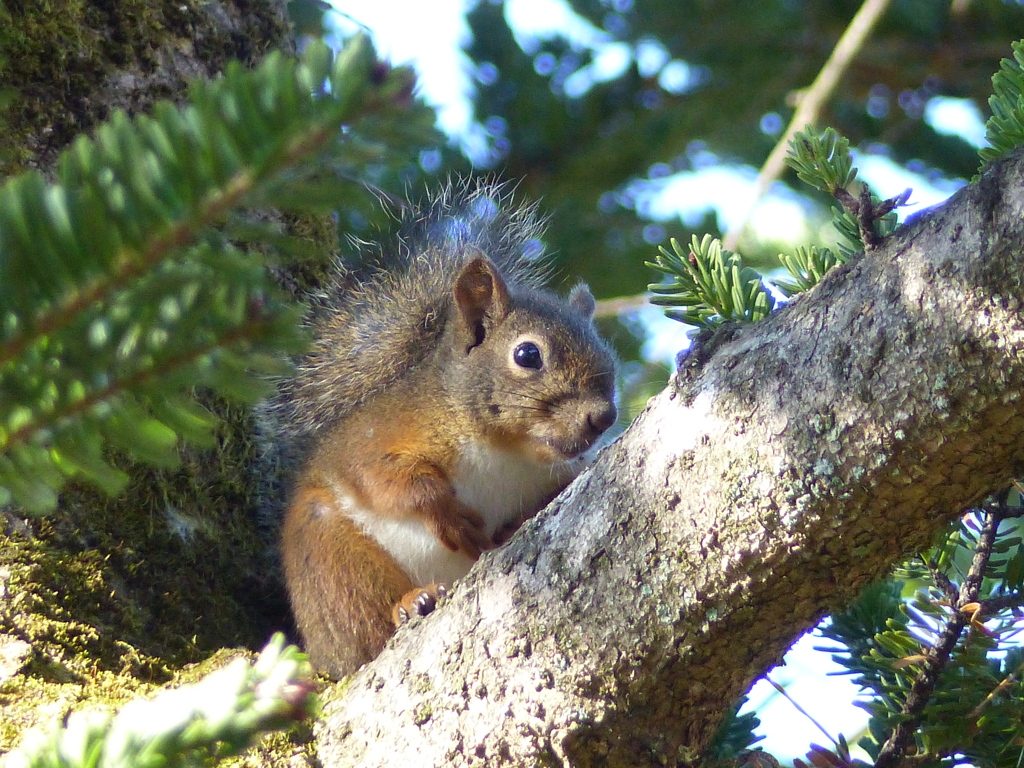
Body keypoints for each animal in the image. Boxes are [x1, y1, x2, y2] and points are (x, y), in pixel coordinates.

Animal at [270, 183, 614, 675]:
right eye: (528, 354)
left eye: (608, 356)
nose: (603, 416)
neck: (504, 451)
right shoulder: (382, 436)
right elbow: (387, 480)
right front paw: (449, 514)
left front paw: (509, 528)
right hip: (329, 559)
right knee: (366, 624)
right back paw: (410, 603)